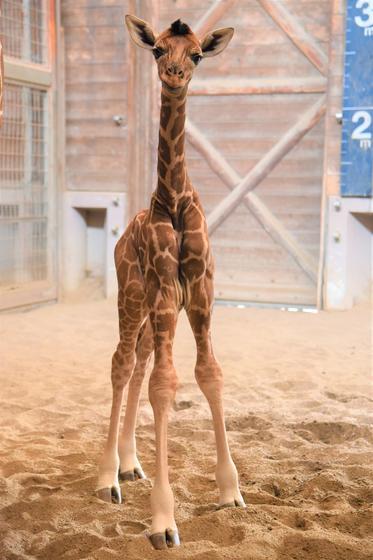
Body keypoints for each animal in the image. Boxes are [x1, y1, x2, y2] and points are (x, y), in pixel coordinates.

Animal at [96, 15, 244, 548]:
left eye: (197, 54)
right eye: (158, 49)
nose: (176, 74)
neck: (175, 198)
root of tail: (120, 238)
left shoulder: (200, 293)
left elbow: (209, 373)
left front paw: (230, 493)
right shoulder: (163, 290)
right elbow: (166, 385)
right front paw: (164, 521)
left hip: (154, 311)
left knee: (138, 363)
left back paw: (129, 464)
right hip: (132, 294)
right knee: (122, 364)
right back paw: (107, 479)